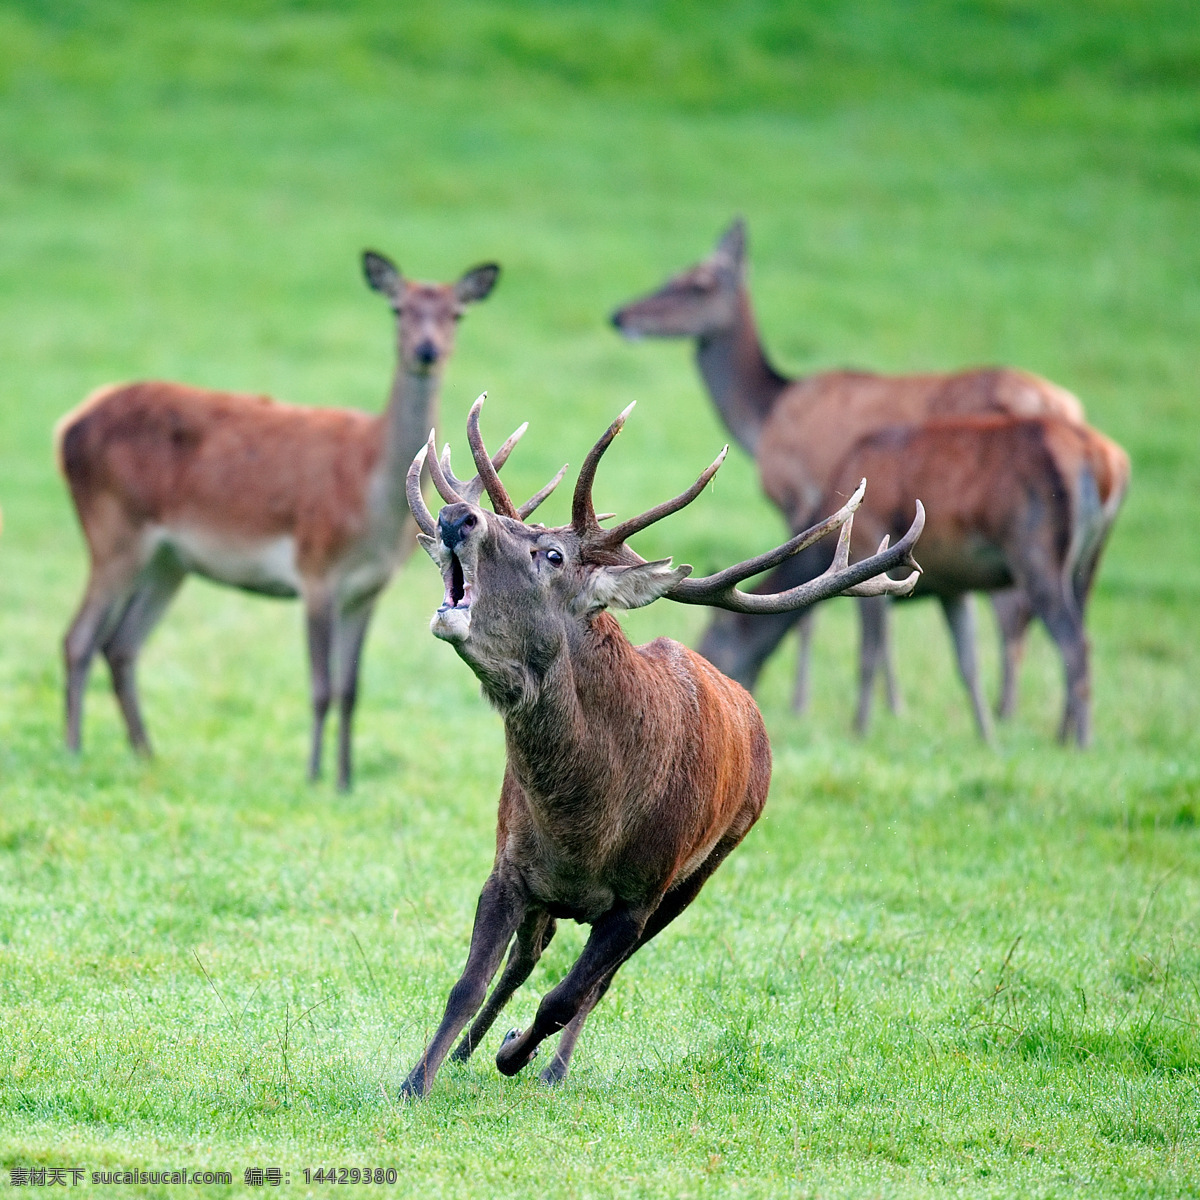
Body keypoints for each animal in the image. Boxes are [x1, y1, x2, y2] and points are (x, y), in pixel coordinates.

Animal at [56, 249, 501, 792]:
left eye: (457, 314)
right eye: (398, 308)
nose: (426, 351)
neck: (371, 503)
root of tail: (68, 425)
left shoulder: (368, 589)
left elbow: (351, 689)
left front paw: (345, 781)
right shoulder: (315, 569)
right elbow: (321, 686)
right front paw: (313, 776)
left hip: (169, 560)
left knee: (120, 645)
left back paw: (146, 754)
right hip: (113, 530)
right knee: (78, 638)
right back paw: (74, 750)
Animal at [393, 396, 916, 1099]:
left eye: (550, 555)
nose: (457, 516)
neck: (585, 824)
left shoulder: (639, 899)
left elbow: (567, 996)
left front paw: (516, 1057)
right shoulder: (511, 866)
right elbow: (468, 984)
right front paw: (418, 1080)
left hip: (701, 872)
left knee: (594, 985)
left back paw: (548, 1066)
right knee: (529, 956)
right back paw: (471, 1051)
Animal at [614, 218, 1094, 729]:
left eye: (698, 283)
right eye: (674, 273)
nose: (620, 315)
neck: (763, 418)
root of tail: (1069, 409)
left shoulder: (800, 496)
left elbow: (821, 618)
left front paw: (815, 705)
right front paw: (892, 707)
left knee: (1026, 619)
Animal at [700, 417, 1128, 744]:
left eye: (714, 639)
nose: (729, 692)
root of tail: (1105, 465)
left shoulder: (869, 546)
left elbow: (869, 654)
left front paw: (859, 729)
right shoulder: (953, 589)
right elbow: (968, 664)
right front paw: (987, 737)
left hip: (1037, 556)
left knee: (1075, 643)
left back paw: (1082, 742)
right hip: (1088, 563)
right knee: (1078, 636)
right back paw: (1063, 734)